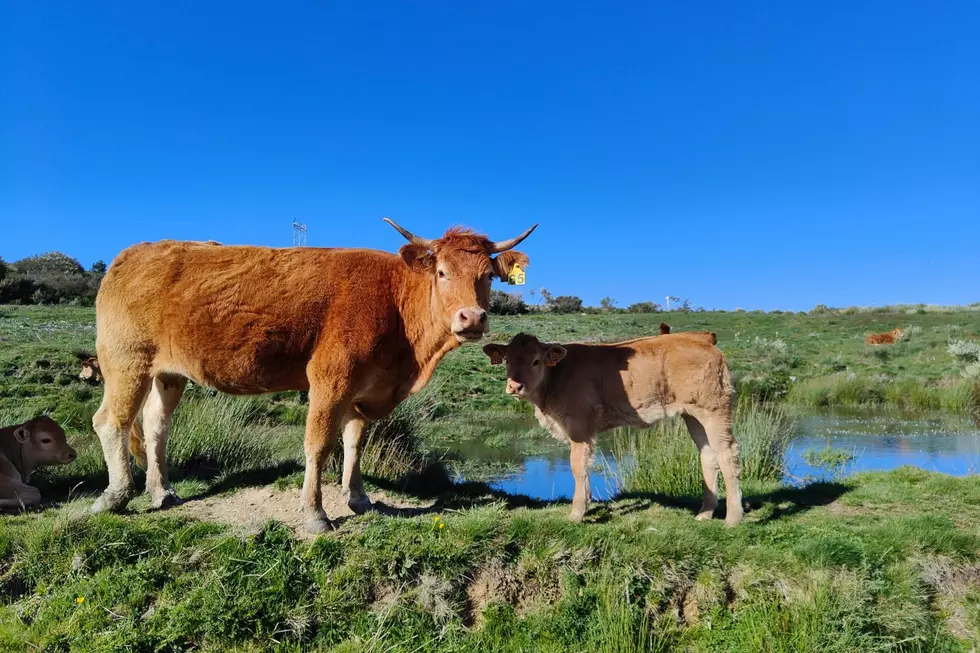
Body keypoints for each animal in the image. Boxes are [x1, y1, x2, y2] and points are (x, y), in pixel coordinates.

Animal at [90, 219, 536, 532]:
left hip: (167, 374)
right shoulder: (330, 378)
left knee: (155, 425)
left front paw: (358, 498)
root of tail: (133, 254)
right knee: (111, 422)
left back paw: (162, 492)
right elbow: (319, 445)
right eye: (442, 272)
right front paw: (315, 513)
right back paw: (115, 496)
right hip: (125, 360)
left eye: (488, 276)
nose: (472, 318)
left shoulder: (363, 389)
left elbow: (354, 442)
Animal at [482, 332, 743, 526]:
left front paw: (577, 513)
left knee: (727, 453)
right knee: (707, 454)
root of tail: (702, 339)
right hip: (694, 415)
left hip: (713, 409)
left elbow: (578, 466)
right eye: (507, 360)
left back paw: (733, 518)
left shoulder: (580, 427)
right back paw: (705, 513)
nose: (515, 386)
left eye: (536, 361)